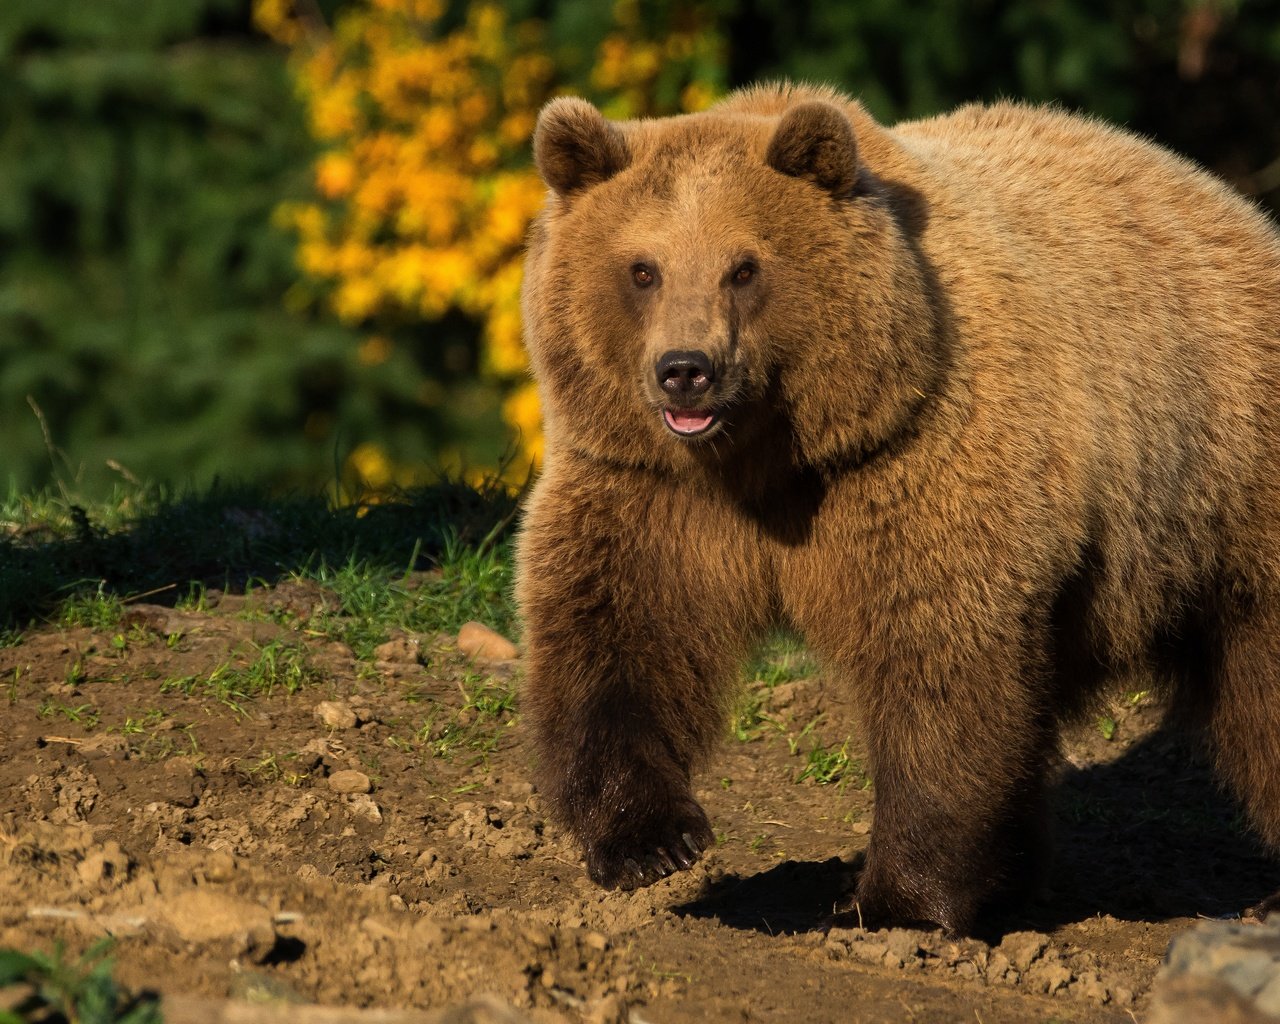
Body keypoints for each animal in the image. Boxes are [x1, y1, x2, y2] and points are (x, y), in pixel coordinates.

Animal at [509, 81, 1280, 936]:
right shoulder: (648, 488)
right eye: (642, 268)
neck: (769, 458)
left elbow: (938, 662)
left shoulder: (914, 464)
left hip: (1225, 477)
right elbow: (617, 634)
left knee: (1263, 687)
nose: (687, 370)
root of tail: (1231, 204)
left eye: (744, 267)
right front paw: (650, 842)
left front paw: (895, 900)